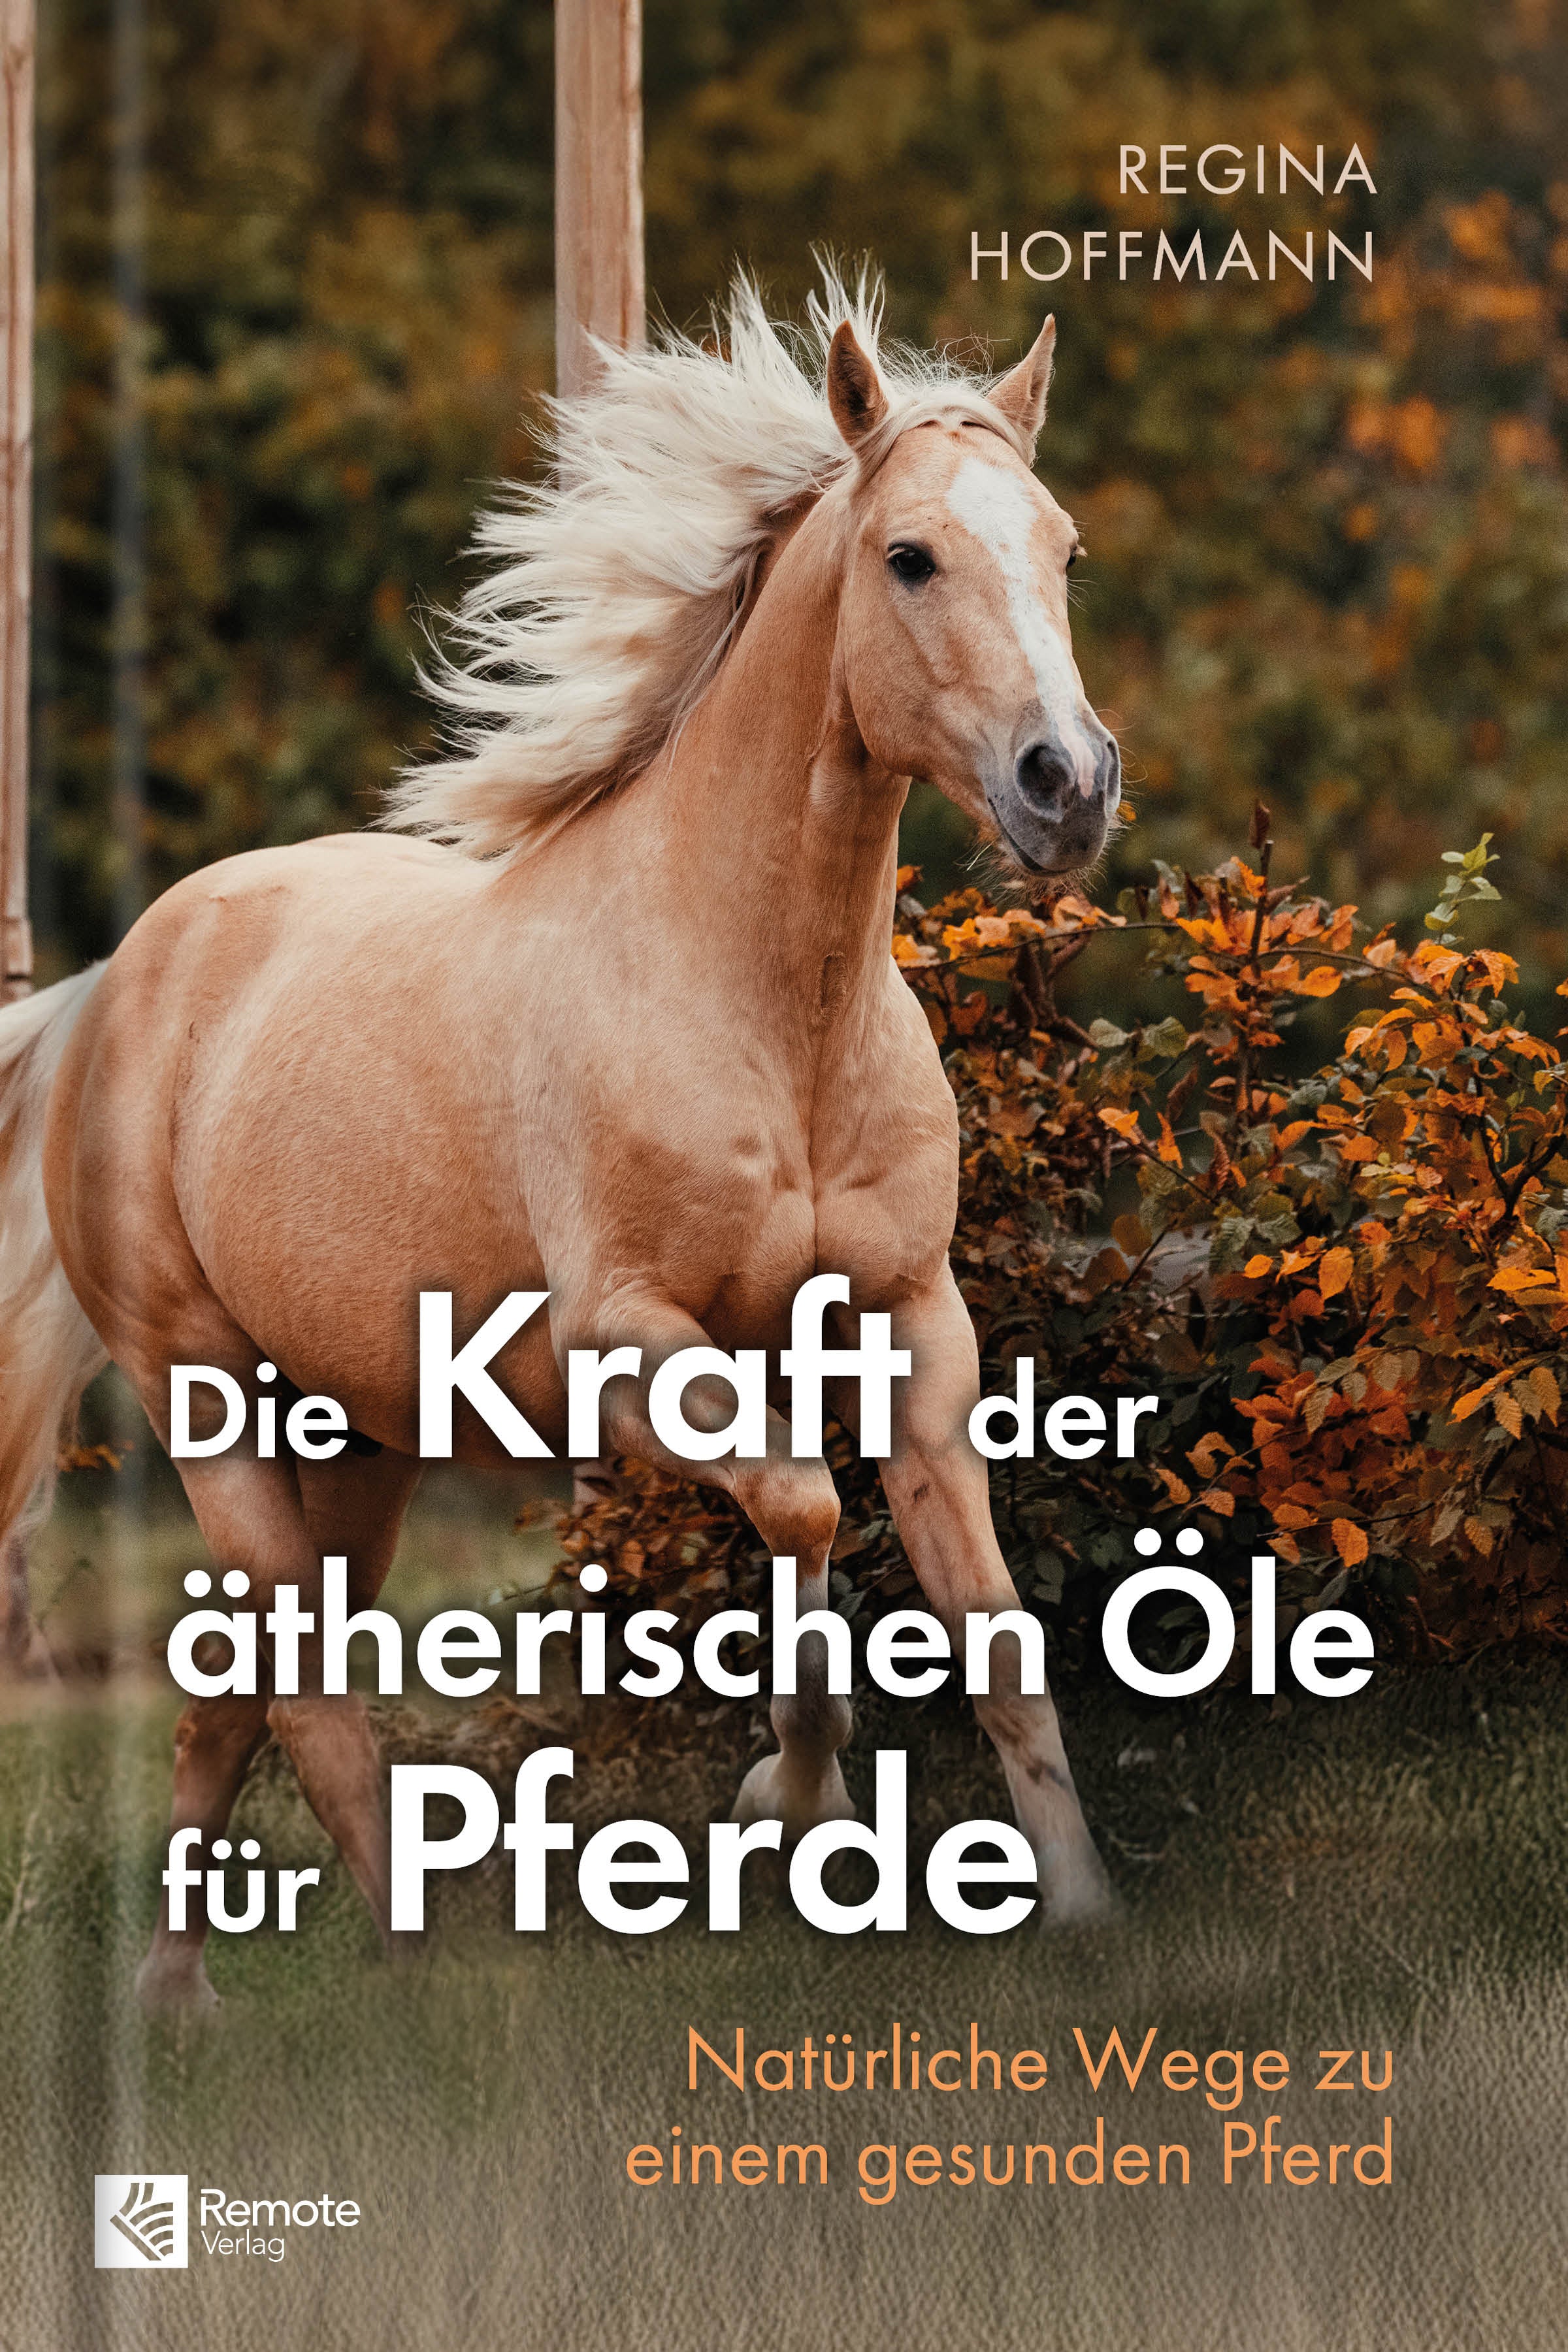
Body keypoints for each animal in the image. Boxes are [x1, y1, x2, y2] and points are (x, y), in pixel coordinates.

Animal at [0, 276, 1121, 2008]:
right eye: (908, 556)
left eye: (1061, 548)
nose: (1065, 787)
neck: (766, 1013)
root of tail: (117, 982)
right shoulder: (627, 1347)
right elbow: (805, 1510)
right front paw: (782, 1800)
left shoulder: (914, 1329)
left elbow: (990, 1629)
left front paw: (1077, 1911)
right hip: (204, 1397)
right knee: (306, 1697)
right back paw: (420, 1979)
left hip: (357, 1436)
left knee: (236, 1690)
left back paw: (179, 1998)